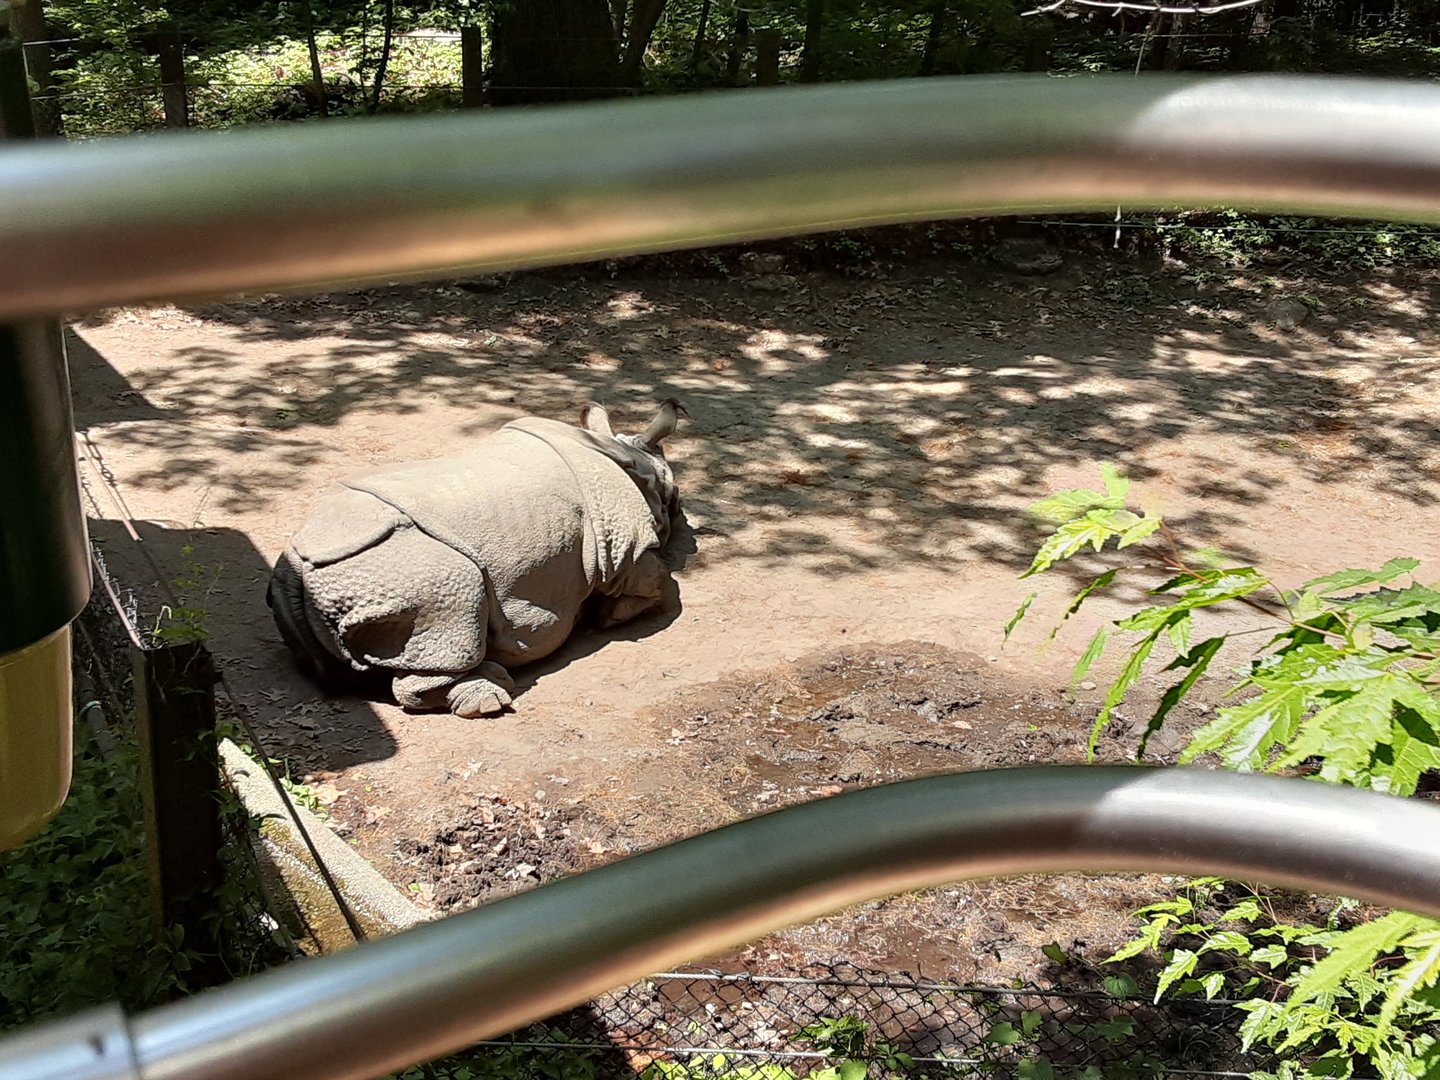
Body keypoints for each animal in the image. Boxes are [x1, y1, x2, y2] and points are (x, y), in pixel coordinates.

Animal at [267, 399, 687, 717]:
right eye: (676, 498)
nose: (683, 517)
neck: (634, 464)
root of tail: (297, 568)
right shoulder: (624, 549)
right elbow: (659, 581)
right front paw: (610, 617)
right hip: (410, 573)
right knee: (457, 604)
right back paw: (492, 698)